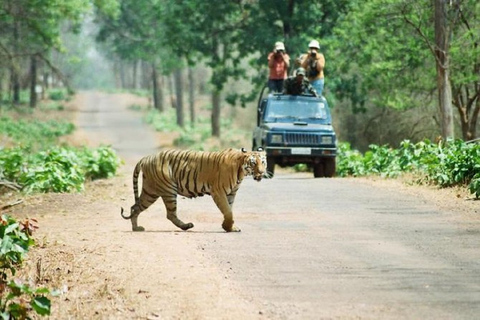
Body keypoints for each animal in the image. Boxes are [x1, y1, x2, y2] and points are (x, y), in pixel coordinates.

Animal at [119, 148, 266, 232]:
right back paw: (186, 226)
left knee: (135, 207)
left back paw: (136, 228)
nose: (262, 172)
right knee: (170, 214)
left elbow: (229, 210)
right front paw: (228, 227)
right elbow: (228, 211)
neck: (241, 171)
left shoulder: (231, 193)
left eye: (263, 162)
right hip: (168, 190)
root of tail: (147, 157)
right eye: (253, 163)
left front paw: (229, 227)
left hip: (150, 192)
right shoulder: (218, 191)